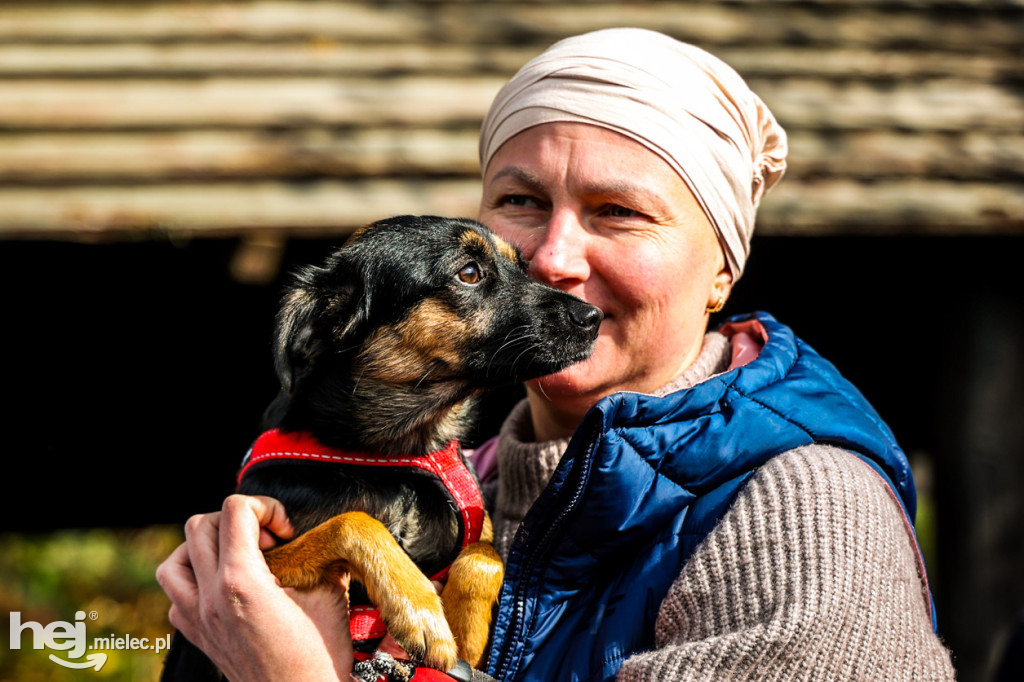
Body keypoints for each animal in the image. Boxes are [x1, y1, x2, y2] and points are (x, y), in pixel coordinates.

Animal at [161, 215, 598, 675]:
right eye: (469, 273)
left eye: (522, 267)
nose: (593, 317)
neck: (397, 454)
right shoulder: (262, 560)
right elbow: (354, 522)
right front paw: (419, 609)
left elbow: (485, 554)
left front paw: (464, 623)